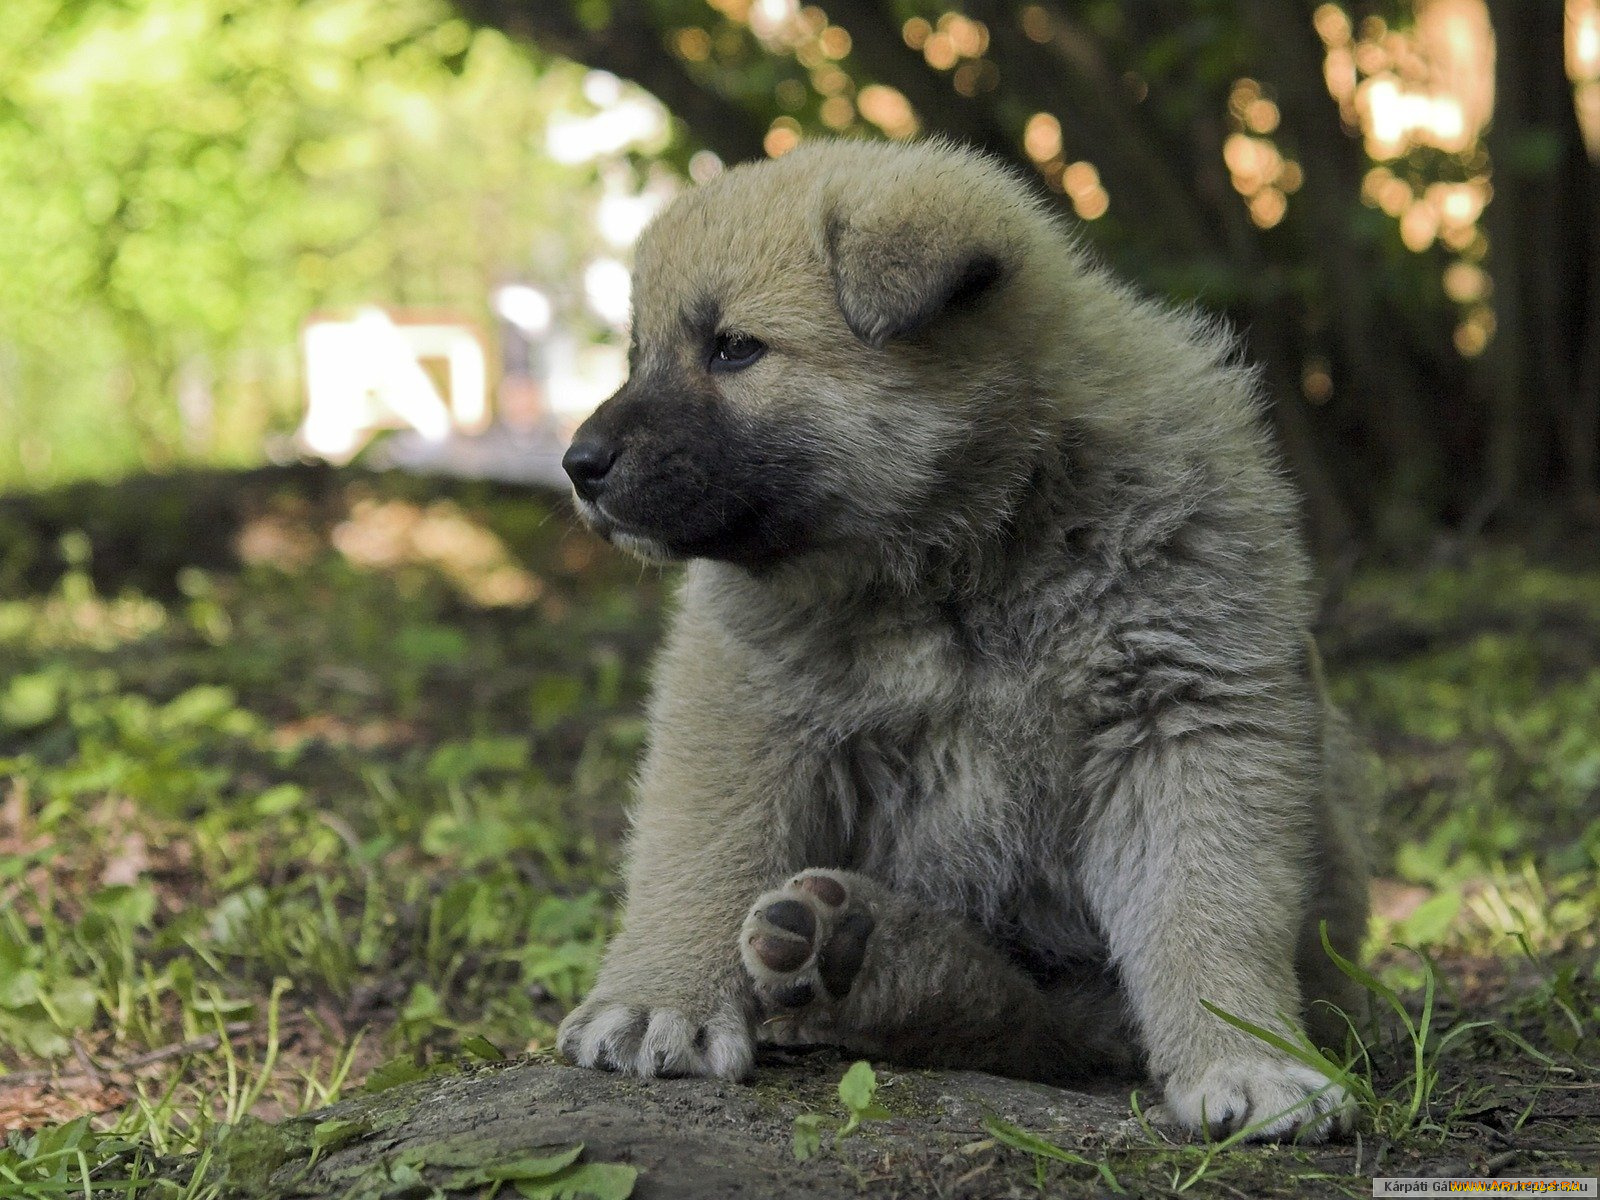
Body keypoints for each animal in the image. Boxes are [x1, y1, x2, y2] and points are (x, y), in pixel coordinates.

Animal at [556, 136, 1369, 1139]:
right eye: (638, 355)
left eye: (735, 347)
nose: (578, 465)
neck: (961, 553)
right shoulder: (743, 707)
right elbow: (699, 858)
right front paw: (656, 1000)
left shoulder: (1187, 717)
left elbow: (1210, 905)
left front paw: (1248, 1058)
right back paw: (845, 952)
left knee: (1046, 1027)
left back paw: (857, 952)